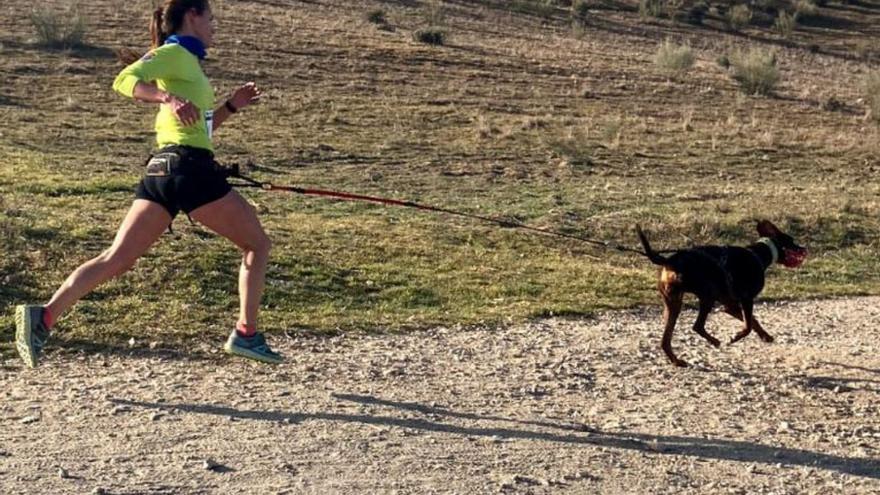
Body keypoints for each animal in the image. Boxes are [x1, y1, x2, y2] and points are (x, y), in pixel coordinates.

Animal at [636, 222, 808, 368]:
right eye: (792, 241)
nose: (803, 248)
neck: (758, 254)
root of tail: (669, 261)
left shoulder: (730, 305)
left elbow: (753, 321)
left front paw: (765, 336)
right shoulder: (746, 299)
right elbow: (748, 326)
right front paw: (736, 337)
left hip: (673, 302)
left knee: (666, 340)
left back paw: (677, 361)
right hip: (707, 294)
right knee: (697, 326)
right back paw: (714, 341)